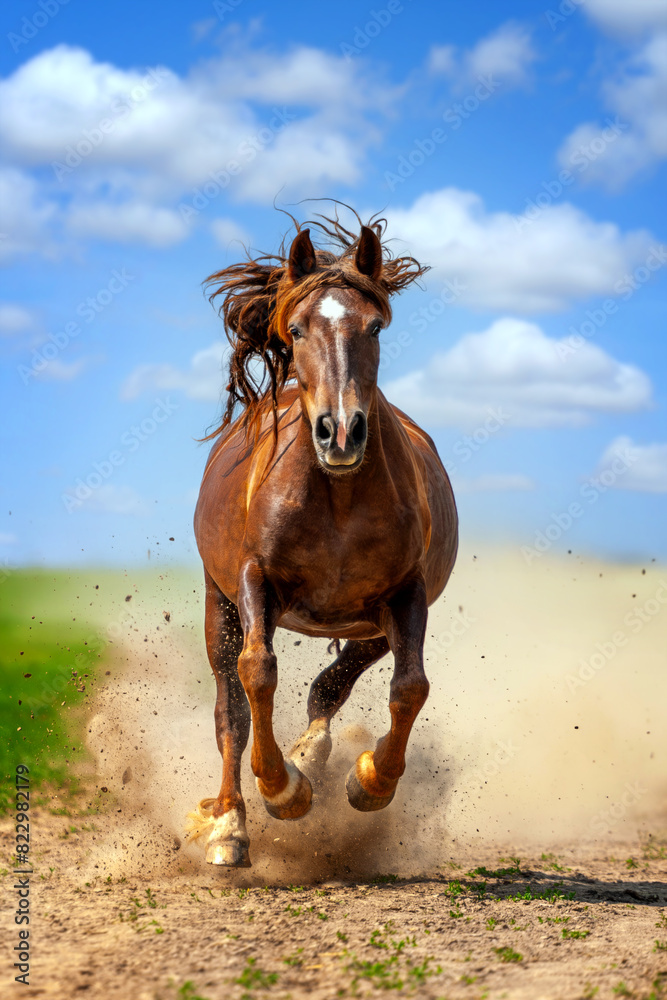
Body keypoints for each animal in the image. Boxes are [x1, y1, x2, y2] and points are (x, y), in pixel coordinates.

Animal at [188, 212, 458, 867]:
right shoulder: (253, 580)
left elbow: (411, 688)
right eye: (297, 328)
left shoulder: (407, 593)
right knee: (229, 711)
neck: (337, 498)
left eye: (375, 326)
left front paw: (370, 782)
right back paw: (231, 824)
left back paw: (314, 752)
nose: (341, 433)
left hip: (367, 626)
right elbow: (256, 672)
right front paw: (283, 792)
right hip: (218, 602)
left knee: (330, 688)